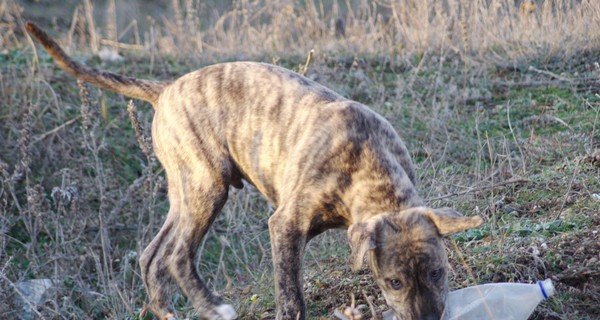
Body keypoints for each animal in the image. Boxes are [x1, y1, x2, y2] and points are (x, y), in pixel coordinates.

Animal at [27, 22, 482, 320]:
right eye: (394, 283)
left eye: (439, 272)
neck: (369, 167)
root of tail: (165, 90)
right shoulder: (286, 225)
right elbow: (291, 295)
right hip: (207, 185)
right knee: (176, 255)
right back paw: (213, 307)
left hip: (185, 190)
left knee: (152, 255)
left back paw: (167, 311)